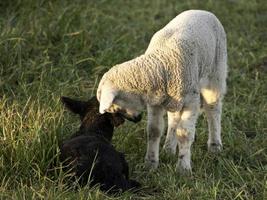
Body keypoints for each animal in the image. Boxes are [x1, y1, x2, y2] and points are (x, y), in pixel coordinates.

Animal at [96, 9, 228, 173]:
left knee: (213, 109)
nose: (137, 119)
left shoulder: (191, 100)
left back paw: (215, 146)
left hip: (216, 72)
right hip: (174, 99)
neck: (160, 63)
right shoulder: (156, 102)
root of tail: (202, 11)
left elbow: (185, 133)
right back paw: (168, 148)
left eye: (114, 106)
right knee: (174, 119)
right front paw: (151, 163)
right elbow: (154, 131)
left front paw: (183, 169)